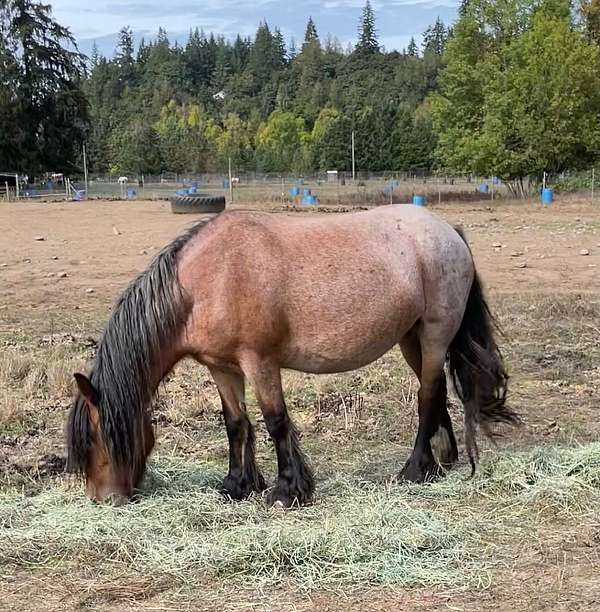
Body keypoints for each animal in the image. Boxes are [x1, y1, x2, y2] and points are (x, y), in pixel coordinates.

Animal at [64, 206, 516, 506]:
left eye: (98, 438)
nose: (104, 499)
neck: (205, 281)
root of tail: (448, 230)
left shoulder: (260, 363)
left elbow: (275, 422)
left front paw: (287, 490)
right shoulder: (222, 368)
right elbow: (236, 424)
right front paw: (238, 485)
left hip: (436, 335)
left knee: (426, 396)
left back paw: (416, 470)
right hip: (412, 338)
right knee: (434, 390)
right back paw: (444, 460)